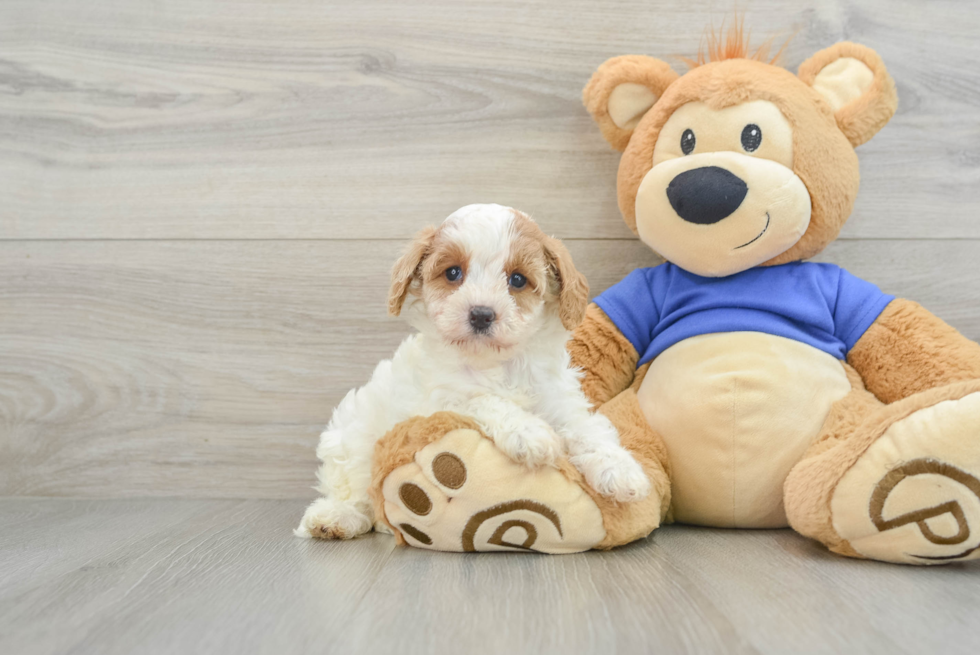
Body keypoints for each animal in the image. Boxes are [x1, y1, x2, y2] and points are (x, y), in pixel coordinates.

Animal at [298, 204, 652, 540]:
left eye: (517, 279)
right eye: (453, 273)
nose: (481, 314)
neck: (495, 362)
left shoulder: (560, 401)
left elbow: (588, 429)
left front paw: (620, 469)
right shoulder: (441, 402)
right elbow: (483, 400)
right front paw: (529, 433)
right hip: (352, 437)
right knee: (355, 490)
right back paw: (336, 518)